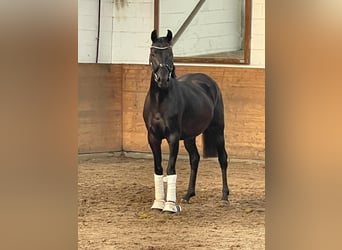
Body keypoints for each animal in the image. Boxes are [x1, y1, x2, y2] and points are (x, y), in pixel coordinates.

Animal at [142, 29, 230, 213]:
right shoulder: (153, 137)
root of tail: (208, 81)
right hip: (190, 137)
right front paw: (158, 203)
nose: (163, 80)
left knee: (223, 158)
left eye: (170, 53)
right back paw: (188, 194)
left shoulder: (173, 137)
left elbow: (171, 168)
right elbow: (158, 168)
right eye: (153, 53)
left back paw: (224, 197)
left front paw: (169, 205)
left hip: (218, 130)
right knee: (194, 159)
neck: (160, 101)